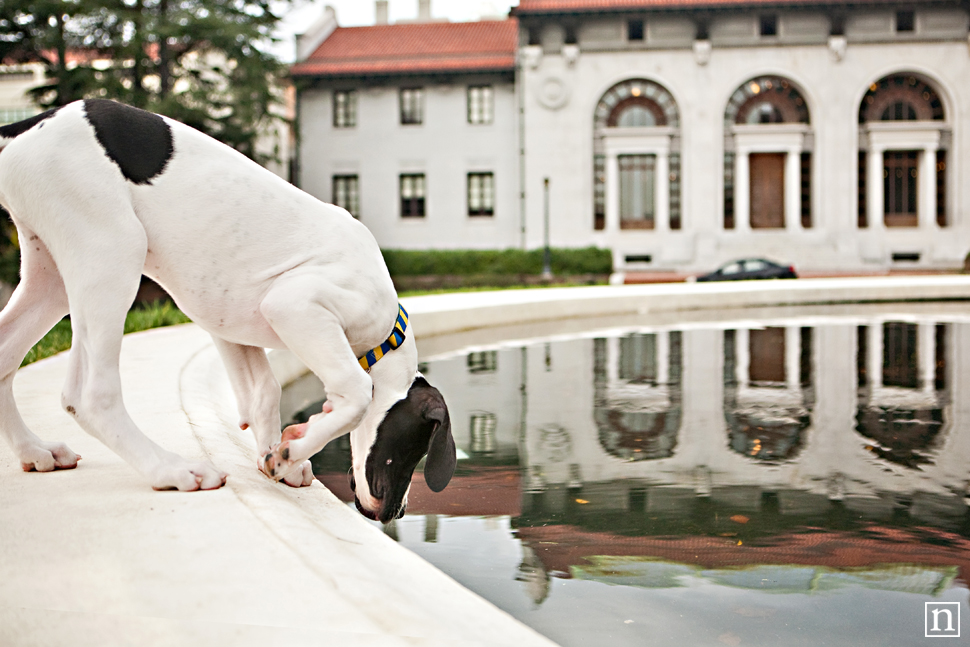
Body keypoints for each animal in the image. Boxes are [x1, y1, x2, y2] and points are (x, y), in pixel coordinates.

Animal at [0, 102, 454, 528]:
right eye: (413, 450)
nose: (396, 512)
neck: (386, 333)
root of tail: (27, 125)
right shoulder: (295, 304)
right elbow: (356, 391)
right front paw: (290, 450)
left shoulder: (229, 326)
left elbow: (264, 392)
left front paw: (277, 455)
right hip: (112, 252)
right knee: (90, 396)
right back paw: (171, 470)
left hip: (53, 279)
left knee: (6, 357)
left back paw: (35, 451)